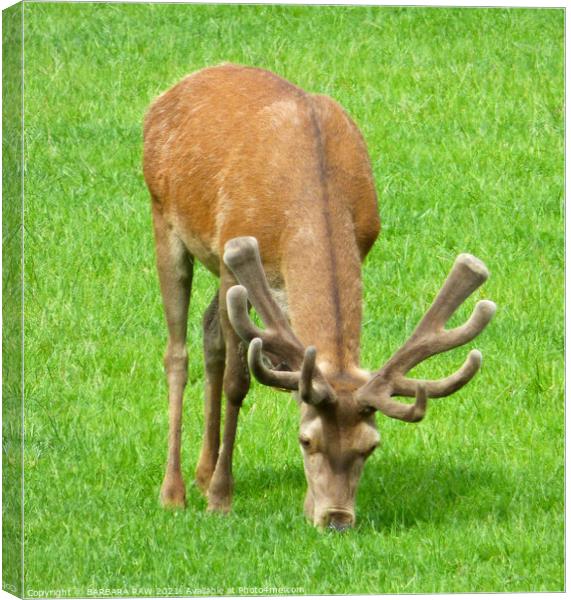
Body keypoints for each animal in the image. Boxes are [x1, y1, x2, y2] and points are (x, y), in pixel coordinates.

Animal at [143, 63, 496, 532]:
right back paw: (175, 491)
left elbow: (295, 380)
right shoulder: (232, 252)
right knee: (177, 353)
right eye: (306, 441)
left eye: (370, 446)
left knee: (211, 331)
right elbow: (240, 381)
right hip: (165, 218)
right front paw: (221, 499)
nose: (337, 519)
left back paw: (202, 471)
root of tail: (174, 89)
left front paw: (302, 503)